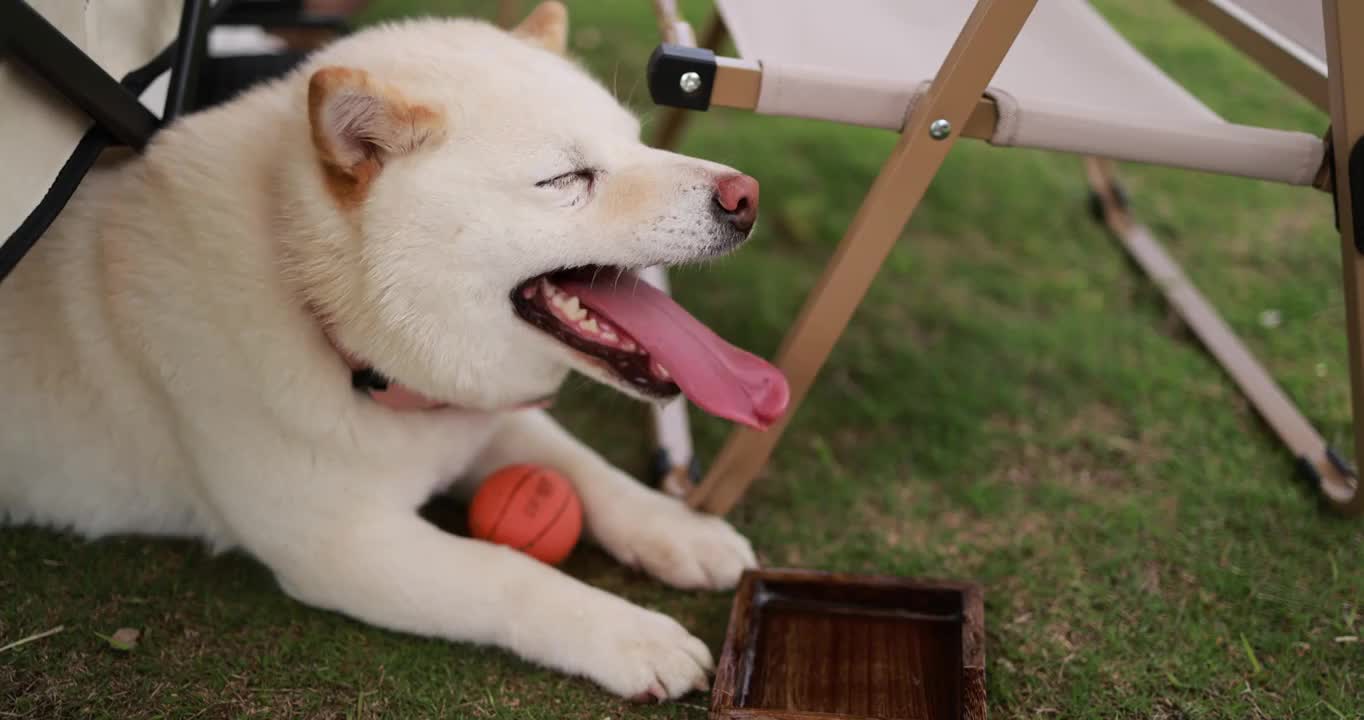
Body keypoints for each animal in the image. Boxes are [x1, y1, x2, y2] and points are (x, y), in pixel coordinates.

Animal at [0, 4, 791, 703]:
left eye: (638, 142)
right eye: (565, 179)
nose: (745, 196)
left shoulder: (478, 416)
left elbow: (591, 473)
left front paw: (679, 532)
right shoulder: (342, 546)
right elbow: (508, 572)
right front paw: (631, 635)